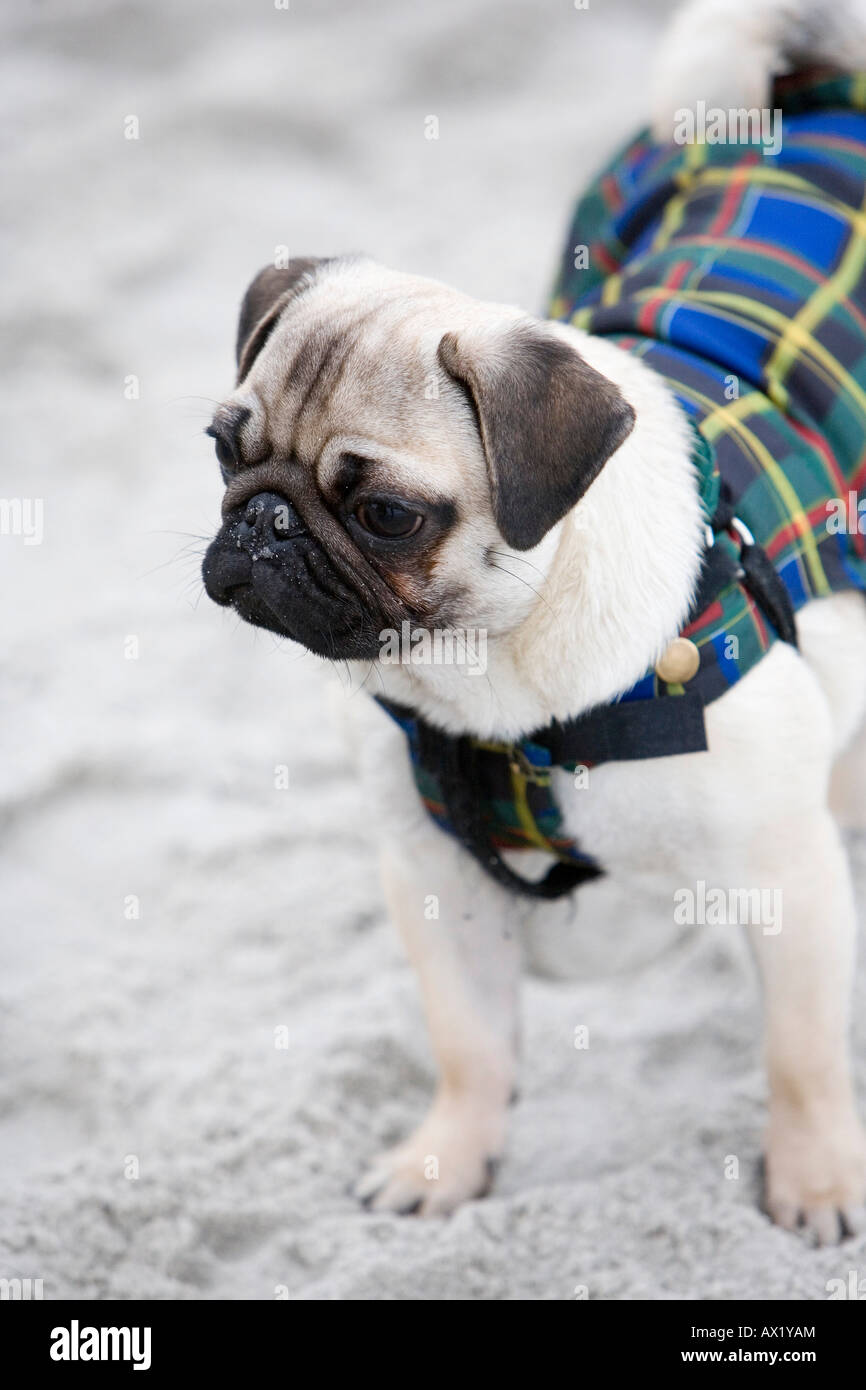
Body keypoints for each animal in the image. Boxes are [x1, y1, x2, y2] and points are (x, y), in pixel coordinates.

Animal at [202, 0, 866, 1239]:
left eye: (387, 514)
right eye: (225, 448)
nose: (264, 524)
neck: (495, 676)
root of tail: (812, 90)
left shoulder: (782, 870)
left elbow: (800, 1054)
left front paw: (815, 1180)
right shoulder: (434, 875)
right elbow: (467, 1044)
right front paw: (445, 1161)